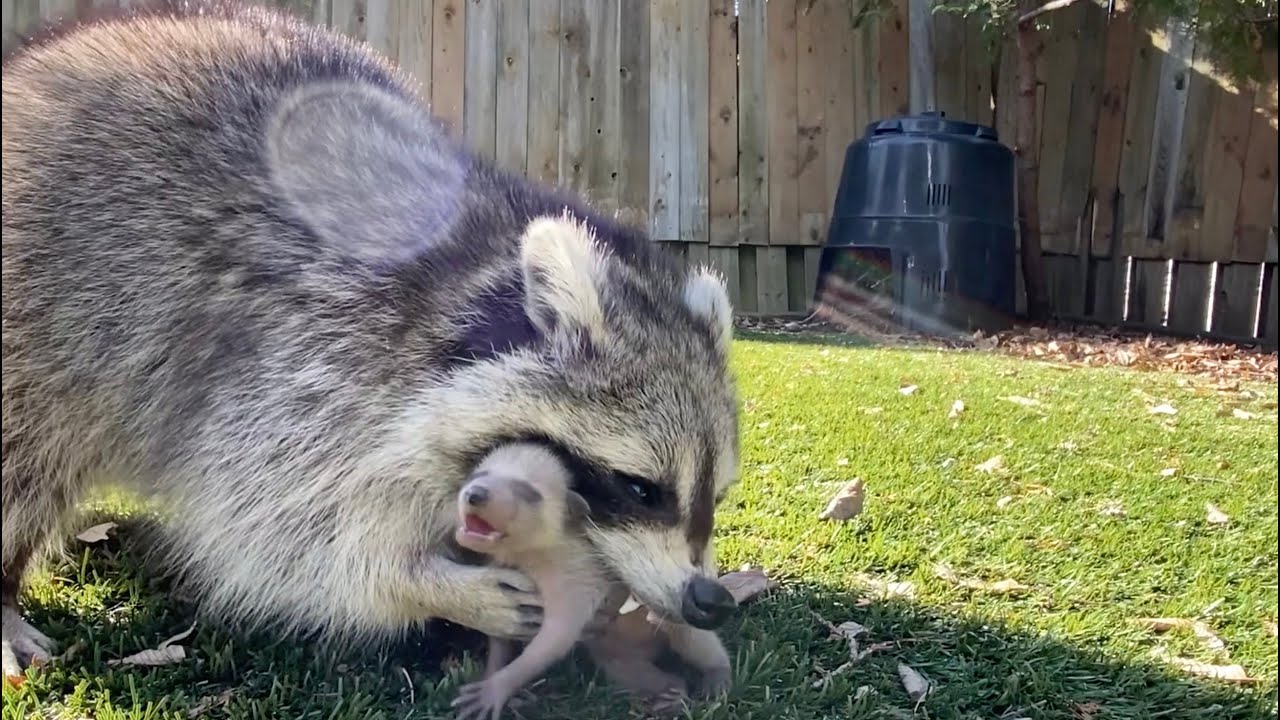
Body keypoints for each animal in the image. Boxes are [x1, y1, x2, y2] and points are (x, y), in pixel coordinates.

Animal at [2, 0, 742, 681]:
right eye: (640, 488)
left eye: (718, 497)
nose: (709, 601)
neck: (470, 278)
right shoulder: (303, 358)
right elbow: (268, 529)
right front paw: (416, 584)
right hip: (37, 314)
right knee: (25, 458)